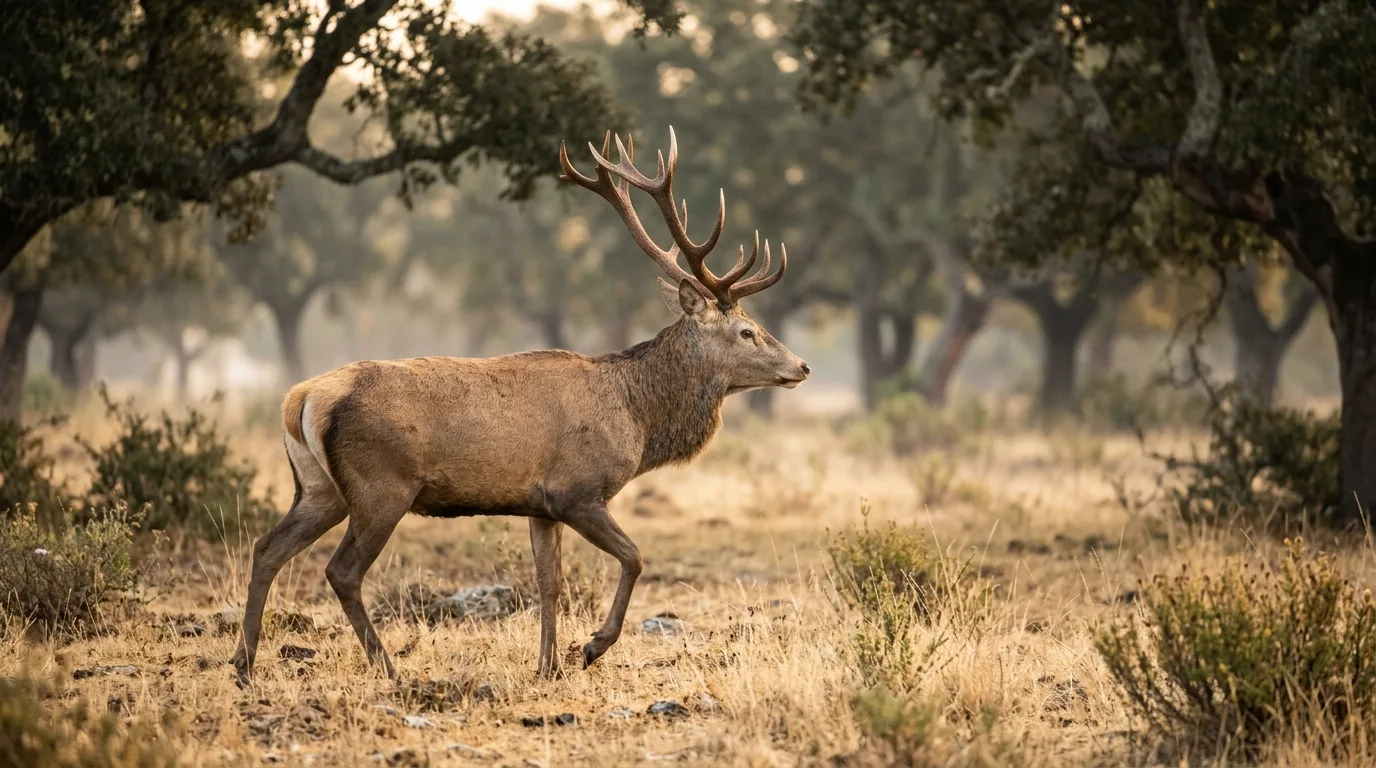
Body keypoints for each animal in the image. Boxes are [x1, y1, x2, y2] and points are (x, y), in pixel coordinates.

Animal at [230, 127, 810, 685]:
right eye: (747, 331)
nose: (802, 366)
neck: (636, 416)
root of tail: (302, 398)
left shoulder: (540, 506)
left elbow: (548, 582)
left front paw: (547, 666)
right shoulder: (578, 490)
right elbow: (634, 557)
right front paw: (591, 648)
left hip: (319, 488)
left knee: (266, 548)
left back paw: (244, 663)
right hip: (381, 486)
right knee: (341, 571)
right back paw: (387, 667)